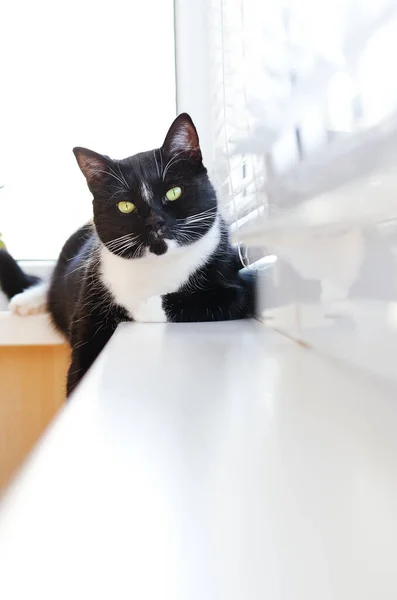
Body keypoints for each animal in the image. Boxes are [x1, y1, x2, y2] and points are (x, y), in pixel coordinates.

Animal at [0, 113, 254, 396]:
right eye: (125, 206)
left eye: (173, 192)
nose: (155, 221)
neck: (156, 265)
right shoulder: (90, 300)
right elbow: (79, 367)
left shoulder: (235, 285)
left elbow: (191, 301)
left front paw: (138, 306)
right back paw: (26, 301)